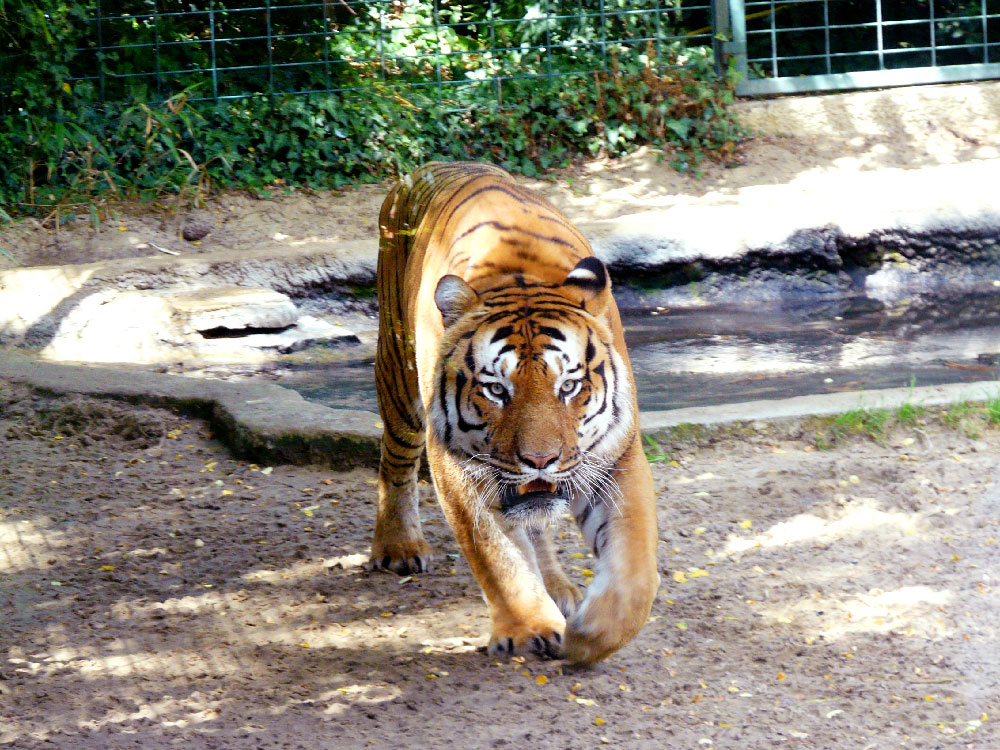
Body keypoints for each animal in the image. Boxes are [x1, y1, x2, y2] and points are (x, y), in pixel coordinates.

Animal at [372, 160, 660, 664]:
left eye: (569, 386)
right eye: (496, 389)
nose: (539, 460)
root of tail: (428, 168)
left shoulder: (616, 455)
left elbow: (634, 568)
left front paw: (590, 636)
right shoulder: (457, 464)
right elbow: (498, 555)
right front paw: (531, 628)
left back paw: (559, 588)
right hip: (396, 372)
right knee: (396, 460)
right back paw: (398, 545)